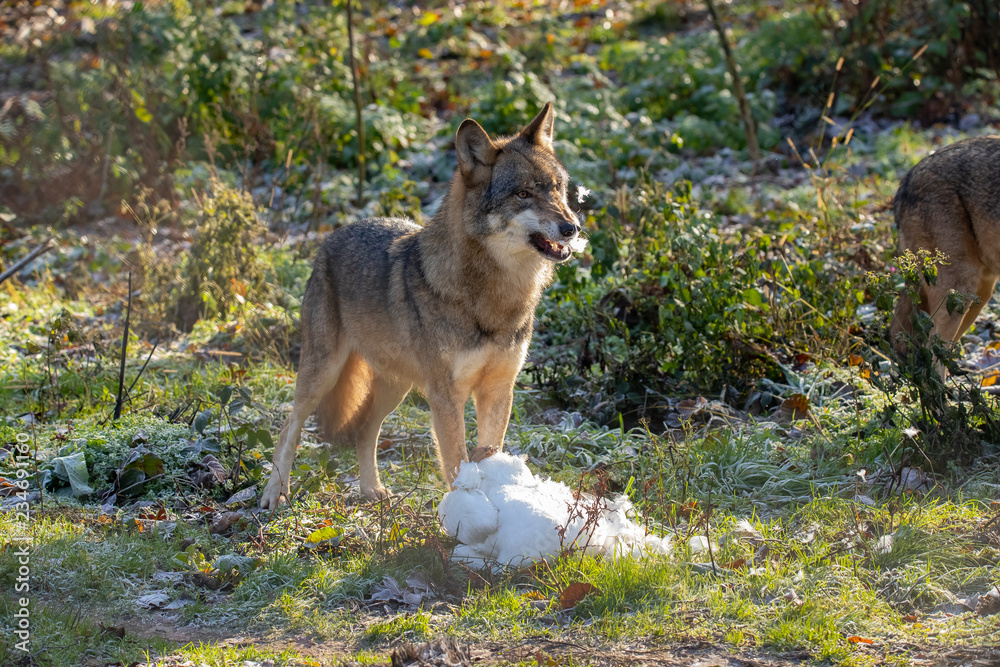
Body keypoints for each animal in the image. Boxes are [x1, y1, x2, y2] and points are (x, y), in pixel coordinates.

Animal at [259, 102, 584, 509]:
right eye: (523, 193)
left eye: (558, 188)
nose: (572, 228)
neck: (494, 297)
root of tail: (330, 237)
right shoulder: (446, 397)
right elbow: (457, 462)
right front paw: (466, 514)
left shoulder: (498, 390)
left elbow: (489, 451)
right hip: (322, 376)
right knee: (289, 425)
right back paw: (275, 492)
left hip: (394, 389)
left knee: (364, 430)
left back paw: (372, 490)